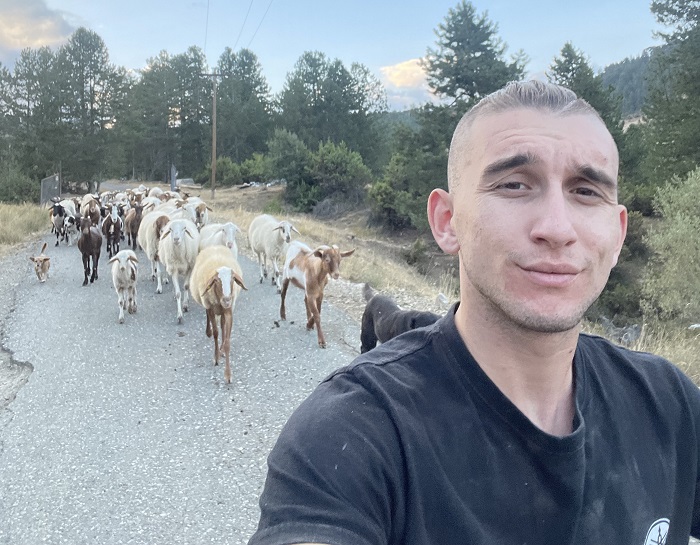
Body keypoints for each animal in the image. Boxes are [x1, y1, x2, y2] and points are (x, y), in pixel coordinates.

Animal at [190, 245, 247, 384]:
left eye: (233, 279)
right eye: (216, 281)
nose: (226, 300)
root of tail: (214, 246)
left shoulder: (229, 311)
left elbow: (227, 341)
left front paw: (228, 374)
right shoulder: (211, 307)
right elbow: (216, 333)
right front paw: (216, 358)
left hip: (222, 311)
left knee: (222, 325)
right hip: (207, 303)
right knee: (209, 319)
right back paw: (208, 332)